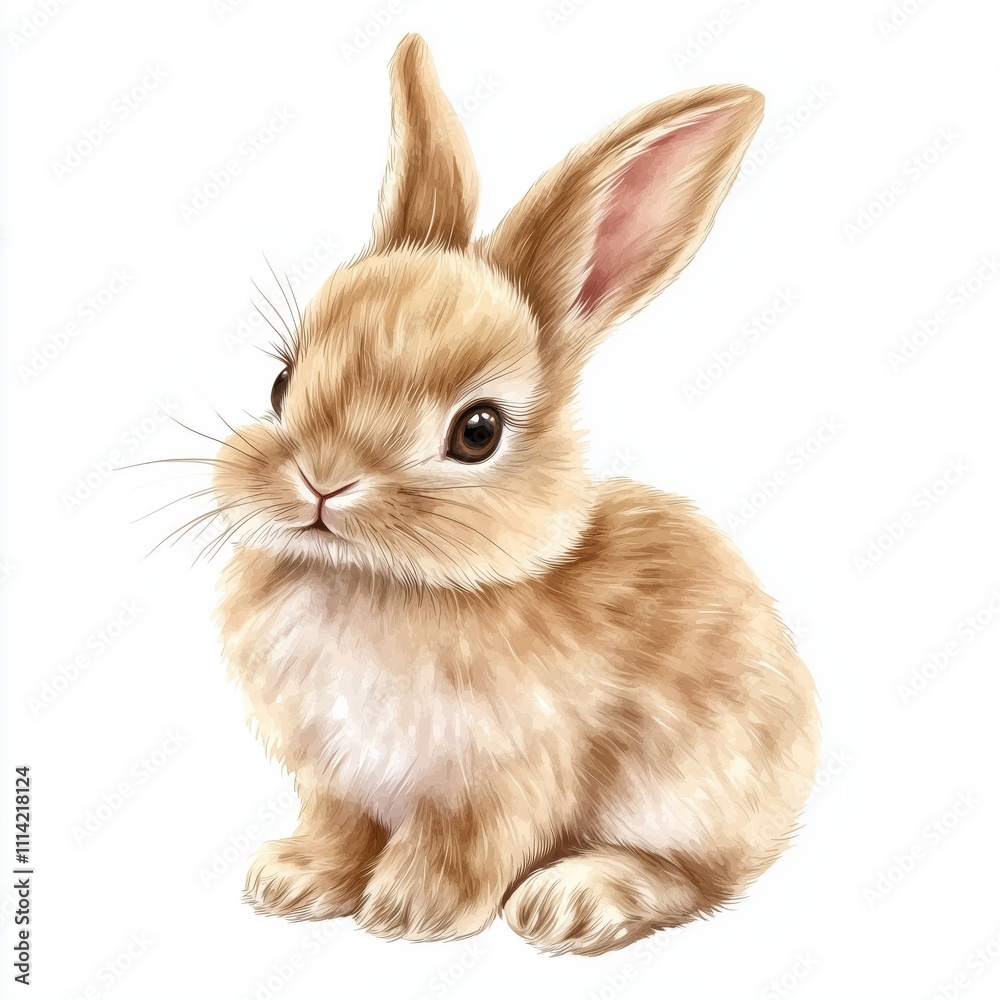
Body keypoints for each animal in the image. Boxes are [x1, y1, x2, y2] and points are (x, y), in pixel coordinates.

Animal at [213, 33, 819, 956]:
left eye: (478, 431)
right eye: (282, 385)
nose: (321, 482)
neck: (382, 580)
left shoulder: (500, 781)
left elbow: (464, 845)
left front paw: (410, 910)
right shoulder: (334, 781)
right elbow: (338, 828)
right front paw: (292, 881)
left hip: (689, 791)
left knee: (695, 879)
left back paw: (573, 900)